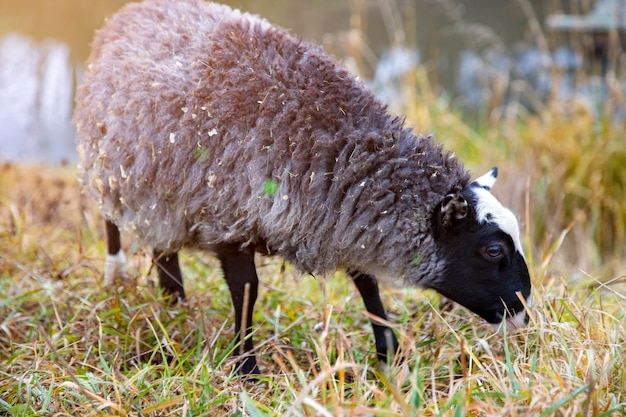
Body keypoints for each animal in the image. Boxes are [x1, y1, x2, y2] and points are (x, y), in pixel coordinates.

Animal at [74, 0, 532, 376]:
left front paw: (389, 355)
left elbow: (366, 283)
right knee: (112, 221)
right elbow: (246, 292)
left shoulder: (343, 219)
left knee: (162, 246)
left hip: (161, 192)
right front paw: (247, 369)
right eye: (494, 250)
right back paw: (118, 274)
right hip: (112, 170)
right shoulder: (229, 222)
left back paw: (174, 302)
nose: (525, 313)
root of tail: (126, 14)